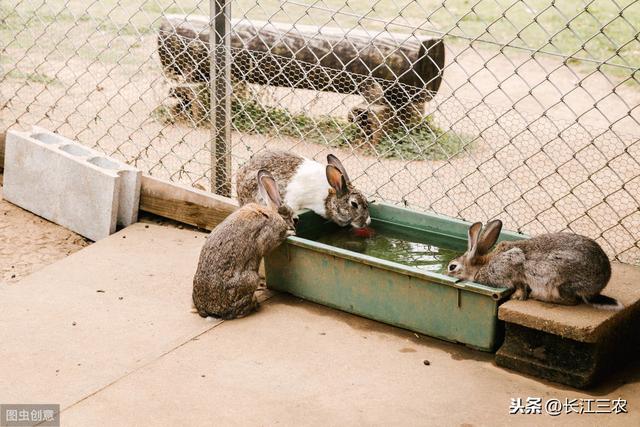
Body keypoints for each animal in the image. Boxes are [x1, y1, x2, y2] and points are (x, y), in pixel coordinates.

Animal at [192, 169, 298, 320]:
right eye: (293, 218)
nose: (295, 227)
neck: (272, 213)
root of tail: (209, 310)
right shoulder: (268, 233)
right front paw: (289, 233)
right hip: (251, 279)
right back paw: (254, 305)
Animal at [444, 221, 620, 310]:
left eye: (452, 267)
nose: (446, 274)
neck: (481, 266)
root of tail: (598, 286)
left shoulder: (510, 264)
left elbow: (518, 280)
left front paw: (518, 296)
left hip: (558, 278)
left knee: (571, 301)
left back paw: (539, 297)